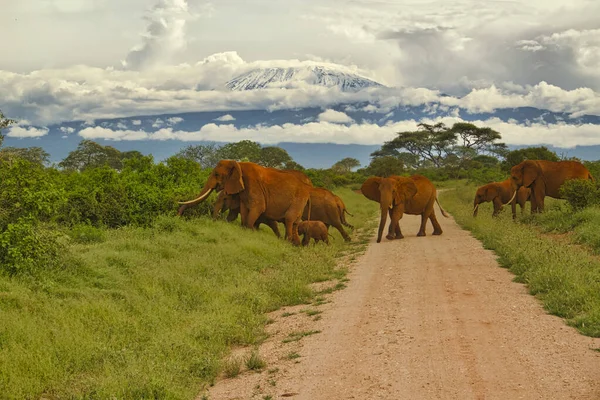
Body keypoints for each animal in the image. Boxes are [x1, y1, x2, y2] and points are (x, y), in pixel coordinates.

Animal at [176, 161, 312, 245]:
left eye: (217, 174)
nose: (178, 216)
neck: (238, 164)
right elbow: (244, 209)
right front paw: (246, 231)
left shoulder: (253, 184)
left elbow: (258, 207)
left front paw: (251, 232)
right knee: (294, 223)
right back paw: (295, 245)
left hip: (298, 200)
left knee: (289, 219)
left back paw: (287, 243)